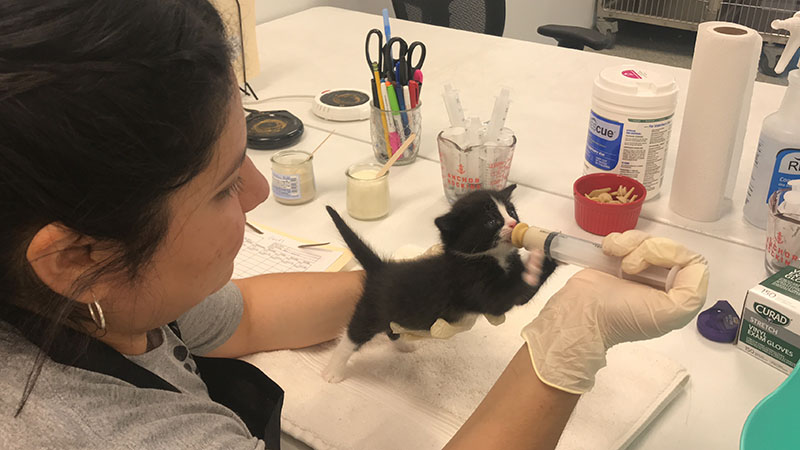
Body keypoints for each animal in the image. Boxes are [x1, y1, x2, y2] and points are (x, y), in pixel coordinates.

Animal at [322, 185, 560, 382]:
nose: (515, 224)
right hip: (371, 310)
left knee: (391, 330)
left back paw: (404, 345)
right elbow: (513, 295)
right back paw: (333, 371)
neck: (490, 257)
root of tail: (381, 268)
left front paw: (552, 247)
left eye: (511, 212)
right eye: (492, 221)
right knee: (352, 336)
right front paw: (540, 257)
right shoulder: (475, 288)